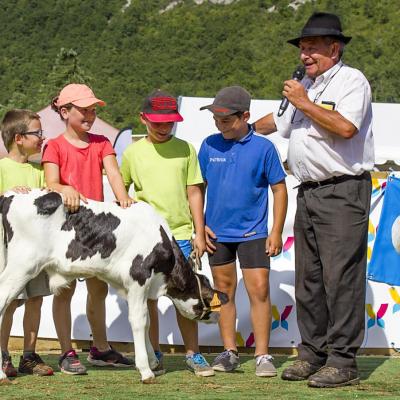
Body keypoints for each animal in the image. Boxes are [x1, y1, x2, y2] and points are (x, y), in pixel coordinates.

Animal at [0, 189, 227, 382]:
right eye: (208, 301)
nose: (216, 317)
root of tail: (11, 195)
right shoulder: (139, 277)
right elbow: (138, 321)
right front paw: (146, 370)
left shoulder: (129, 287)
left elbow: (145, 321)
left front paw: (153, 362)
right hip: (22, 265)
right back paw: (3, 376)